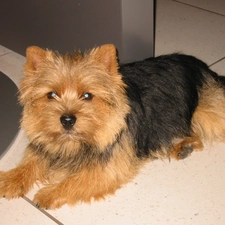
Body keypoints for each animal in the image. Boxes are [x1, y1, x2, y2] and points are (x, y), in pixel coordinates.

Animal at [0, 44, 225, 209]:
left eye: (87, 95)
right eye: (51, 95)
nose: (67, 120)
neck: (76, 143)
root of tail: (203, 66)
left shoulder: (108, 168)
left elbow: (78, 179)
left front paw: (48, 193)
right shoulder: (46, 145)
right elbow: (31, 161)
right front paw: (11, 179)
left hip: (206, 111)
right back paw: (182, 146)